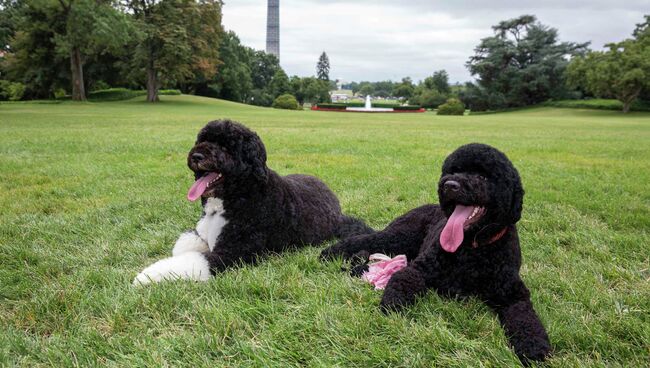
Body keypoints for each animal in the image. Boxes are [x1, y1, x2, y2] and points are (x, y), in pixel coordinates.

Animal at [133, 119, 370, 286]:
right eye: (202, 139)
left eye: (227, 147)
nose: (197, 156)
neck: (236, 196)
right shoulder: (201, 233)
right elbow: (185, 245)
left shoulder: (234, 252)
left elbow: (194, 260)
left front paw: (146, 276)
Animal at [318, 142, 548, 364]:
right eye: (454, 170)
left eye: (483, 176)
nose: (450, 185)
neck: (472, 248)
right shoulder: (420, 269)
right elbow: (402, 281)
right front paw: (392, 304)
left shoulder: (513, 294)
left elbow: (526, 318)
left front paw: (534, 346)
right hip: (398, 237)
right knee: (364, 239)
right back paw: (330, 253)